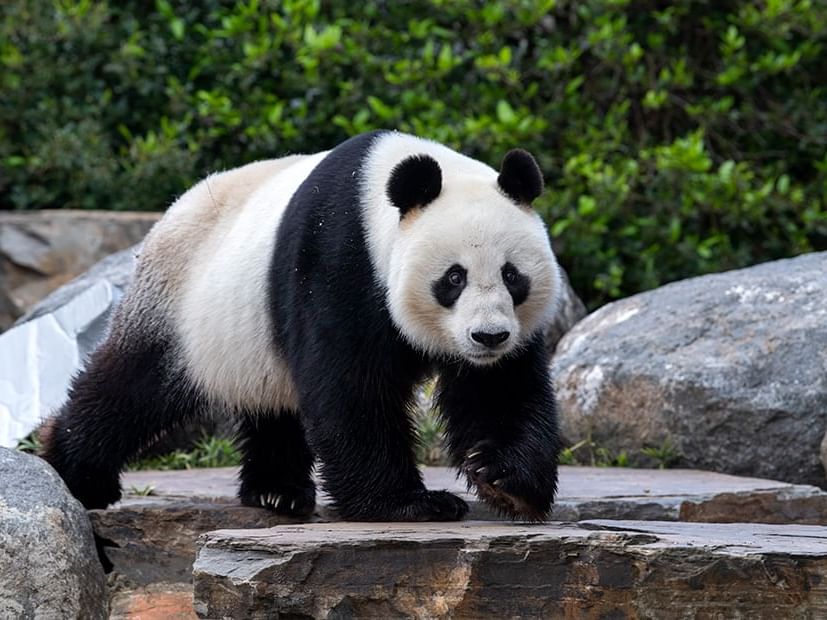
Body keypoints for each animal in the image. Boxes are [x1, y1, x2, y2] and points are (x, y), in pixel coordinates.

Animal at [42, 131, 568, 524]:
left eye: (512, 275)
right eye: (454, 278)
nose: (488, 337)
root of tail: (170, 212)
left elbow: (498, 389)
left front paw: (503, 480)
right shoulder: (337, 259)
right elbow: (349, 384)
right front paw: (410, 503)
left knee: (270, 402)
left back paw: (277, 491)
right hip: (179, 301)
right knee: (132, 386)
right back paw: (78, 474)